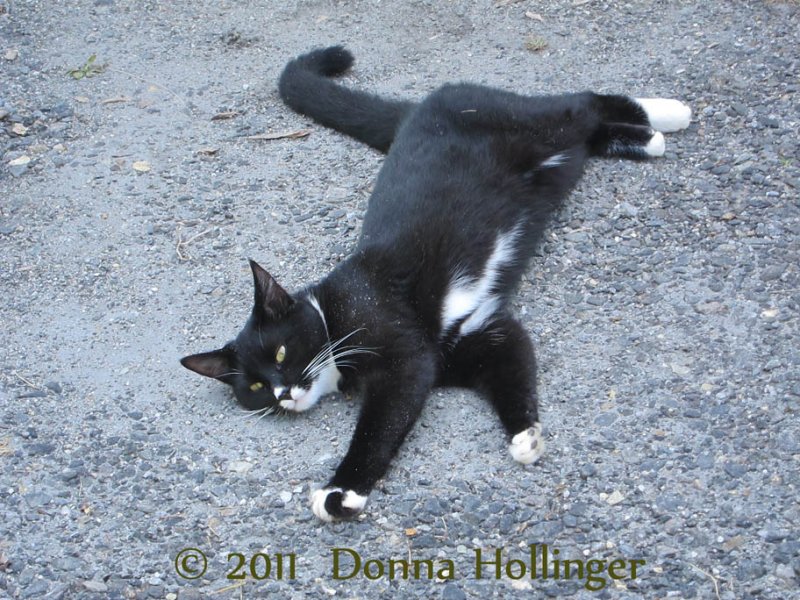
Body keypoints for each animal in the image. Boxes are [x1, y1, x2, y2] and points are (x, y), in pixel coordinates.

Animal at [180, 47, 688, 524]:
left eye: (283, 354)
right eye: (255, 387)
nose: (282, 392)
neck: (333, 314)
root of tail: (418, 109)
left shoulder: (405, 356)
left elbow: (379, 426)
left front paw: (341, 491)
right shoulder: (477, 337)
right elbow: (512, 363)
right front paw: (525, 435)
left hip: (528, 124)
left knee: (581, 103)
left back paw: (667, 112)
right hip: (556, 160)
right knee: (587, 132)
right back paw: (647, 140)